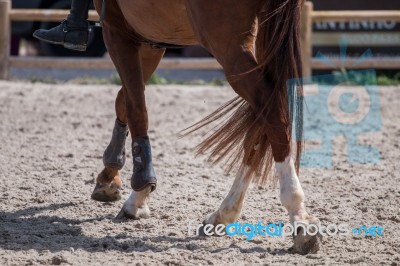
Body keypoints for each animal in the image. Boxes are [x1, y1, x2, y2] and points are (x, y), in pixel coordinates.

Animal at [89, 0, 320, 255]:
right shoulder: (149, 38)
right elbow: (124, 100)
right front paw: (111, 177)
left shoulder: (116, 29)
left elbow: (135, 106)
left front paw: (137, 190)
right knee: (261, 124)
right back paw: (223, 213)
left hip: (229, 46)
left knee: (272, 113)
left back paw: (299, 219)